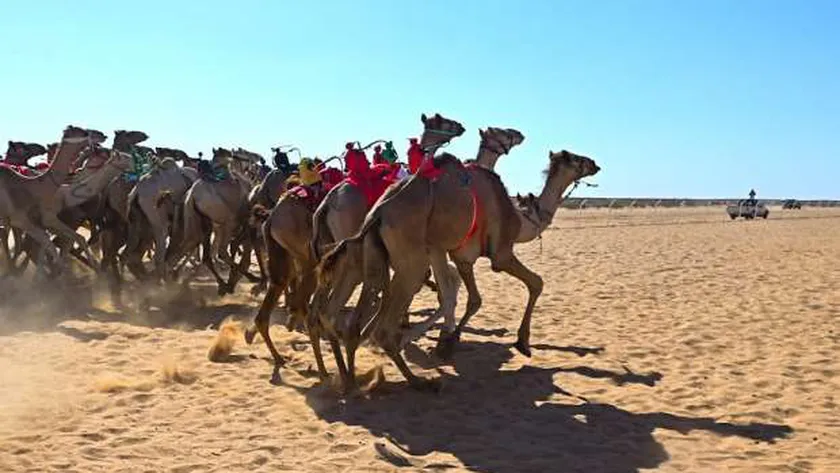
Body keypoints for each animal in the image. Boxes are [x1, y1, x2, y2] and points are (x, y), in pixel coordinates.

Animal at [244, 111, 466, 380]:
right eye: (441, 120)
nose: (460, 127)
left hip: (298, 254)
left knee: (287, 290)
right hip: (316, 255)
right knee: (311, 300)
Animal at [318, 149, 600, 390]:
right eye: (576, 159)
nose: (595, 164)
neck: (521, 220)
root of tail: (378, 213)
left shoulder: (455, 254)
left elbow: (462, 298)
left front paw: (446, 342)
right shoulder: (500, 253)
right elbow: (534, 283)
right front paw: (522, 343)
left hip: (367, 255)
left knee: (343, 317)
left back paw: (349, 380)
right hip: (410, 261)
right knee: (379, 326)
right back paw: (417, 382)